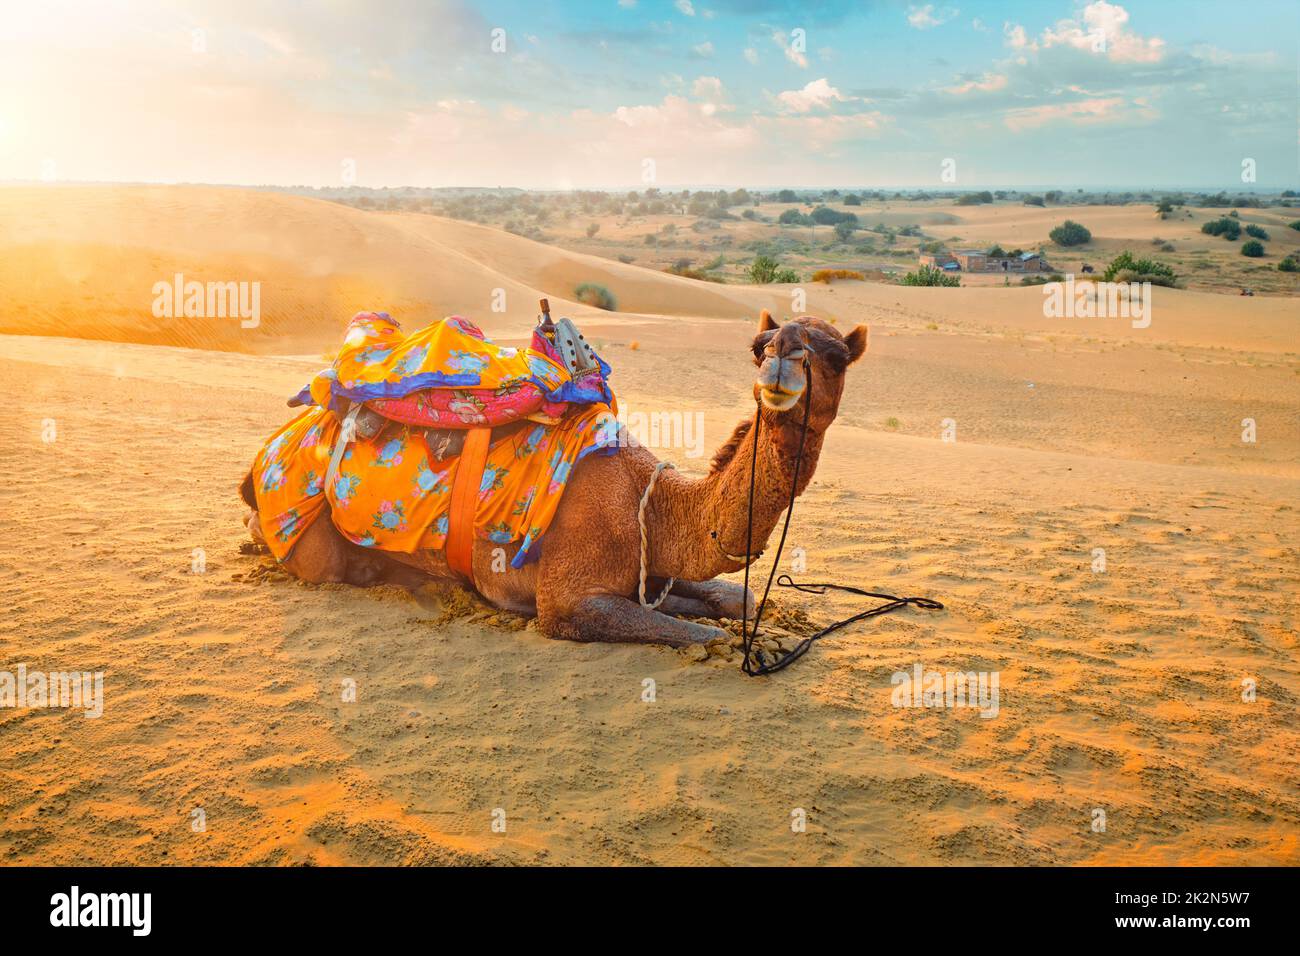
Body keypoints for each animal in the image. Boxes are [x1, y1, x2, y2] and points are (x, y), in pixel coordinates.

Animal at [240, 310, 868, 646]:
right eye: (759, 346)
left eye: (837, 356)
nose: (782, 357)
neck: (652, 504)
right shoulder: (565, 601)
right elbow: (708, 635)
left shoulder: (651, 572)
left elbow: (727, 596)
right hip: (306, 536)